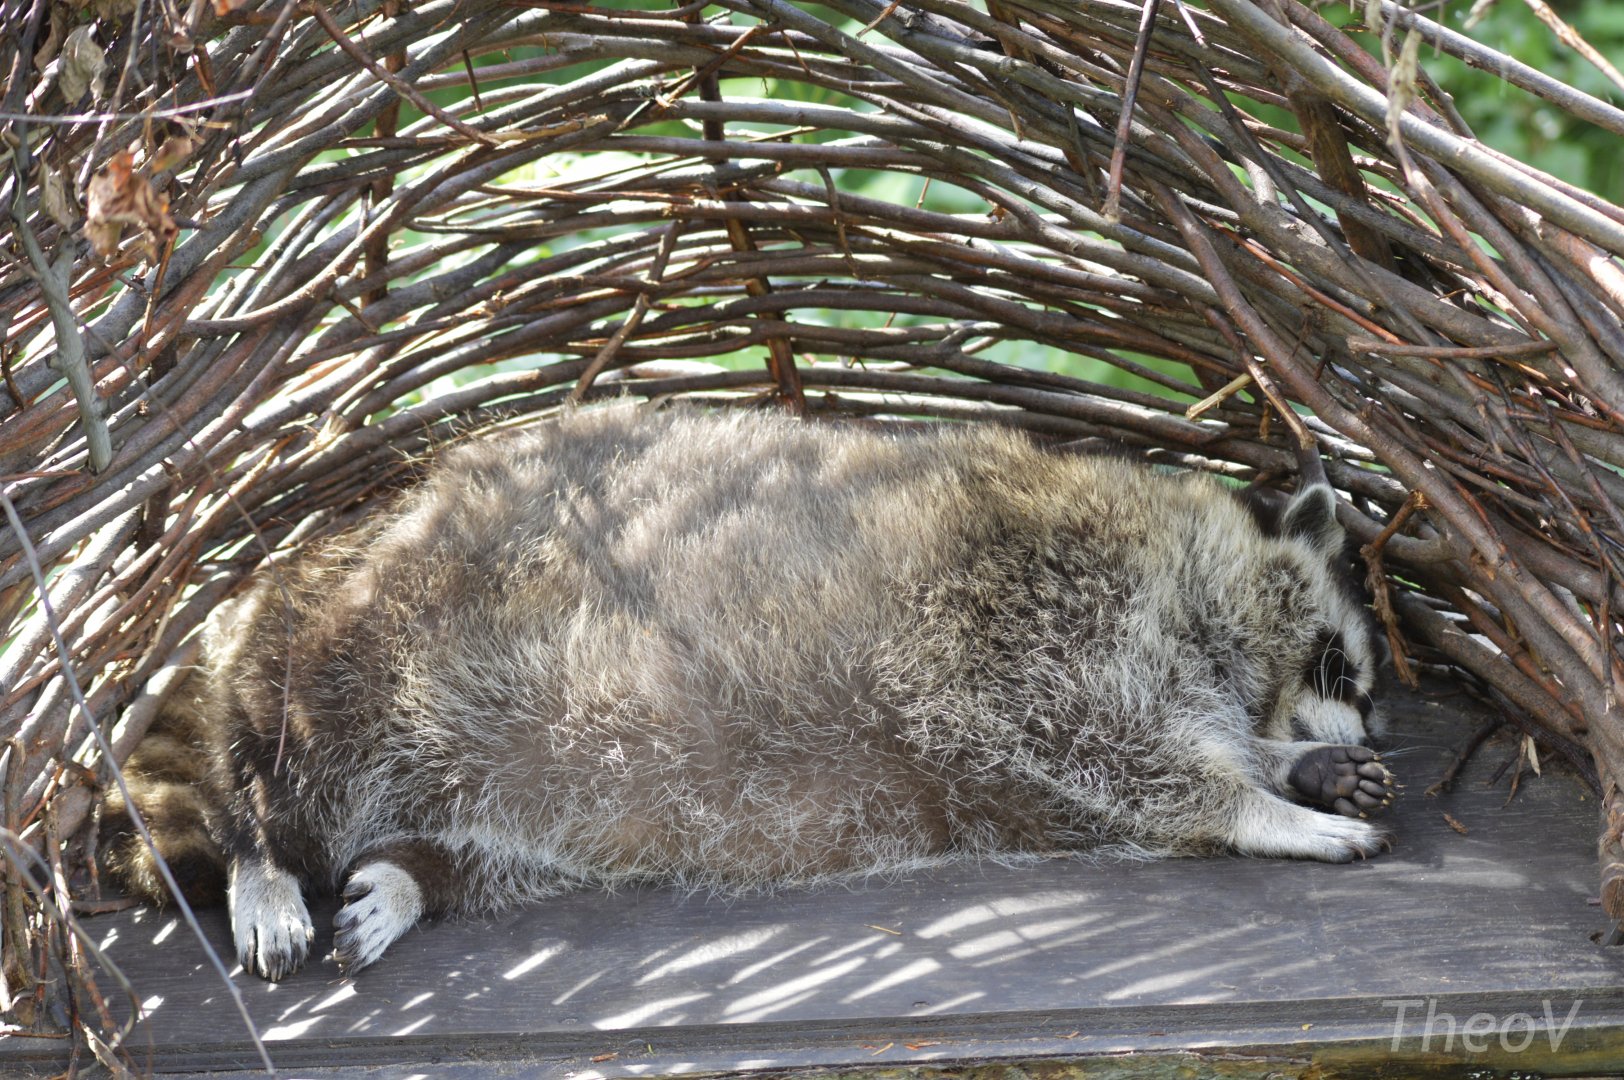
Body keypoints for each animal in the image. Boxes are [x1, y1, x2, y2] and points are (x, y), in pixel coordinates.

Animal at [107, 404, 1394, 982]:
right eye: (1344, 663)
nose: (1366, 720)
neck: (1186, 575)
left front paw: (1290, 765)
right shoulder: (1023, 616)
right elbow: (1111, 749)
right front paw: (1264, 802)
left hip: (530, 798)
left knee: (495, 852)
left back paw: (417, 876)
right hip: (353, 647)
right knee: (271, 759)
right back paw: (260, 851)